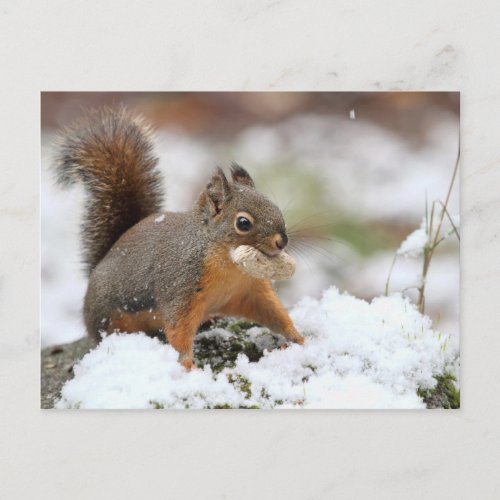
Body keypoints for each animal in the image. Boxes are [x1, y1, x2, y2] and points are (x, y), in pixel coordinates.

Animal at [54, 106, 304, 372]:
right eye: (243, 223)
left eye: (274, 207)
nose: (282, 241)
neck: (228, 264)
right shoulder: (181, 287)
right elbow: (179, 329)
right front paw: (187, 366)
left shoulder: (249, 290)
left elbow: (273, 313)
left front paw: (298, 338)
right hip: (108, 315)